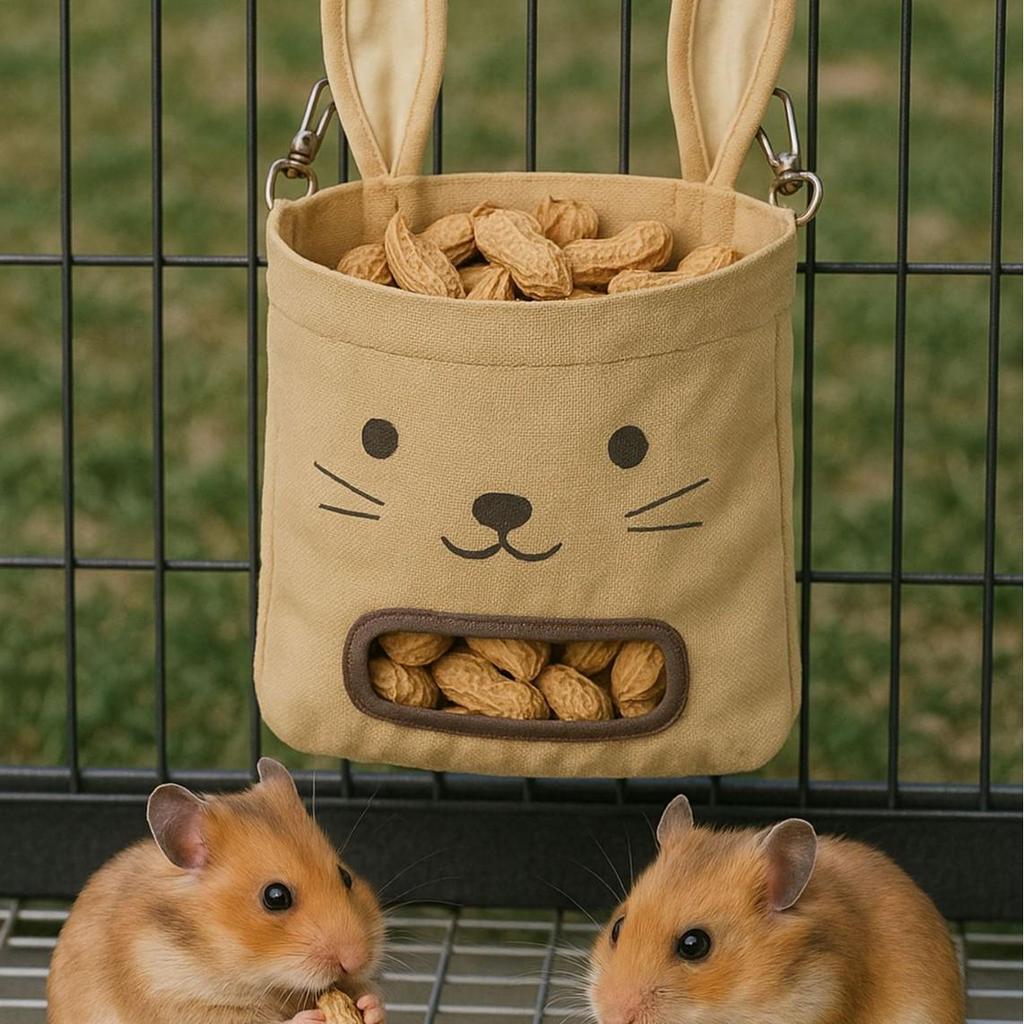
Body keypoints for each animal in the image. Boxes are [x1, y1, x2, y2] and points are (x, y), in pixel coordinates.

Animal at [48, 758, 386, 1024]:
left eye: (345, 876)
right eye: (276, 897)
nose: (356, 960)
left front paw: (370, 1005)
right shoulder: (177, 999)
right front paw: (309, 1018)